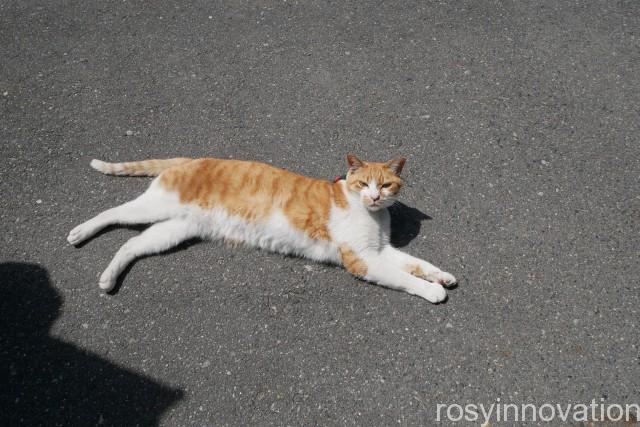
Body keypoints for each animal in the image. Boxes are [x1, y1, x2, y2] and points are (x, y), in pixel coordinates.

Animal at [67, 155, 458, 302]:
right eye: (363, 184)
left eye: (386, 185)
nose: (375, 197)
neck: (373, 216)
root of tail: (191, 158)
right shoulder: (362, 259)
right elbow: (404, 277)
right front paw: (432, 291)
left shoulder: (379, 250)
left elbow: (416, 263)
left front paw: (442, 276)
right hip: (155, 206)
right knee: (112, 214)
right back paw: (80, 232)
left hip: (172, 230)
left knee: (130, 245)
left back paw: (108, 278)